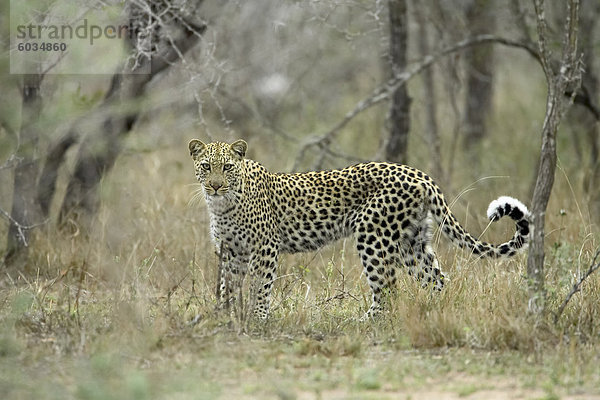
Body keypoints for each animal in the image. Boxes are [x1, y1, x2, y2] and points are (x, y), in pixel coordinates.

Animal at [188, 139, 528, 320]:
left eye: (227, 167)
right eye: (206, 166)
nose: (215, 185)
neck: (223, 205)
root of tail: (419, 173)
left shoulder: (265, 248)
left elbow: (260, 286)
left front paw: (258, 319)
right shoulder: (230, 251)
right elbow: (227, 285)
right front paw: (225, 315)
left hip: (372, 234)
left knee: (388, 288)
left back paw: (366, 321)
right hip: (412, 241)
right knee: (436, 279)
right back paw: (433, 312)